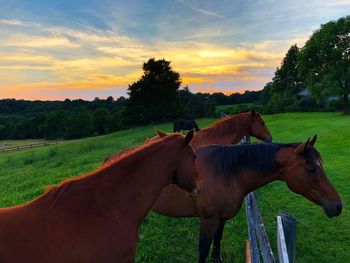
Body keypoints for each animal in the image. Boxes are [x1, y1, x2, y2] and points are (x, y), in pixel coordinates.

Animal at [191, 137, 342, 262]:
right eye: (311, 169)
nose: (338, 206)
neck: (220, 173)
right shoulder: (209, 220)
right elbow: (203, 250)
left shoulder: (220, 218)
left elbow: (217, 240)